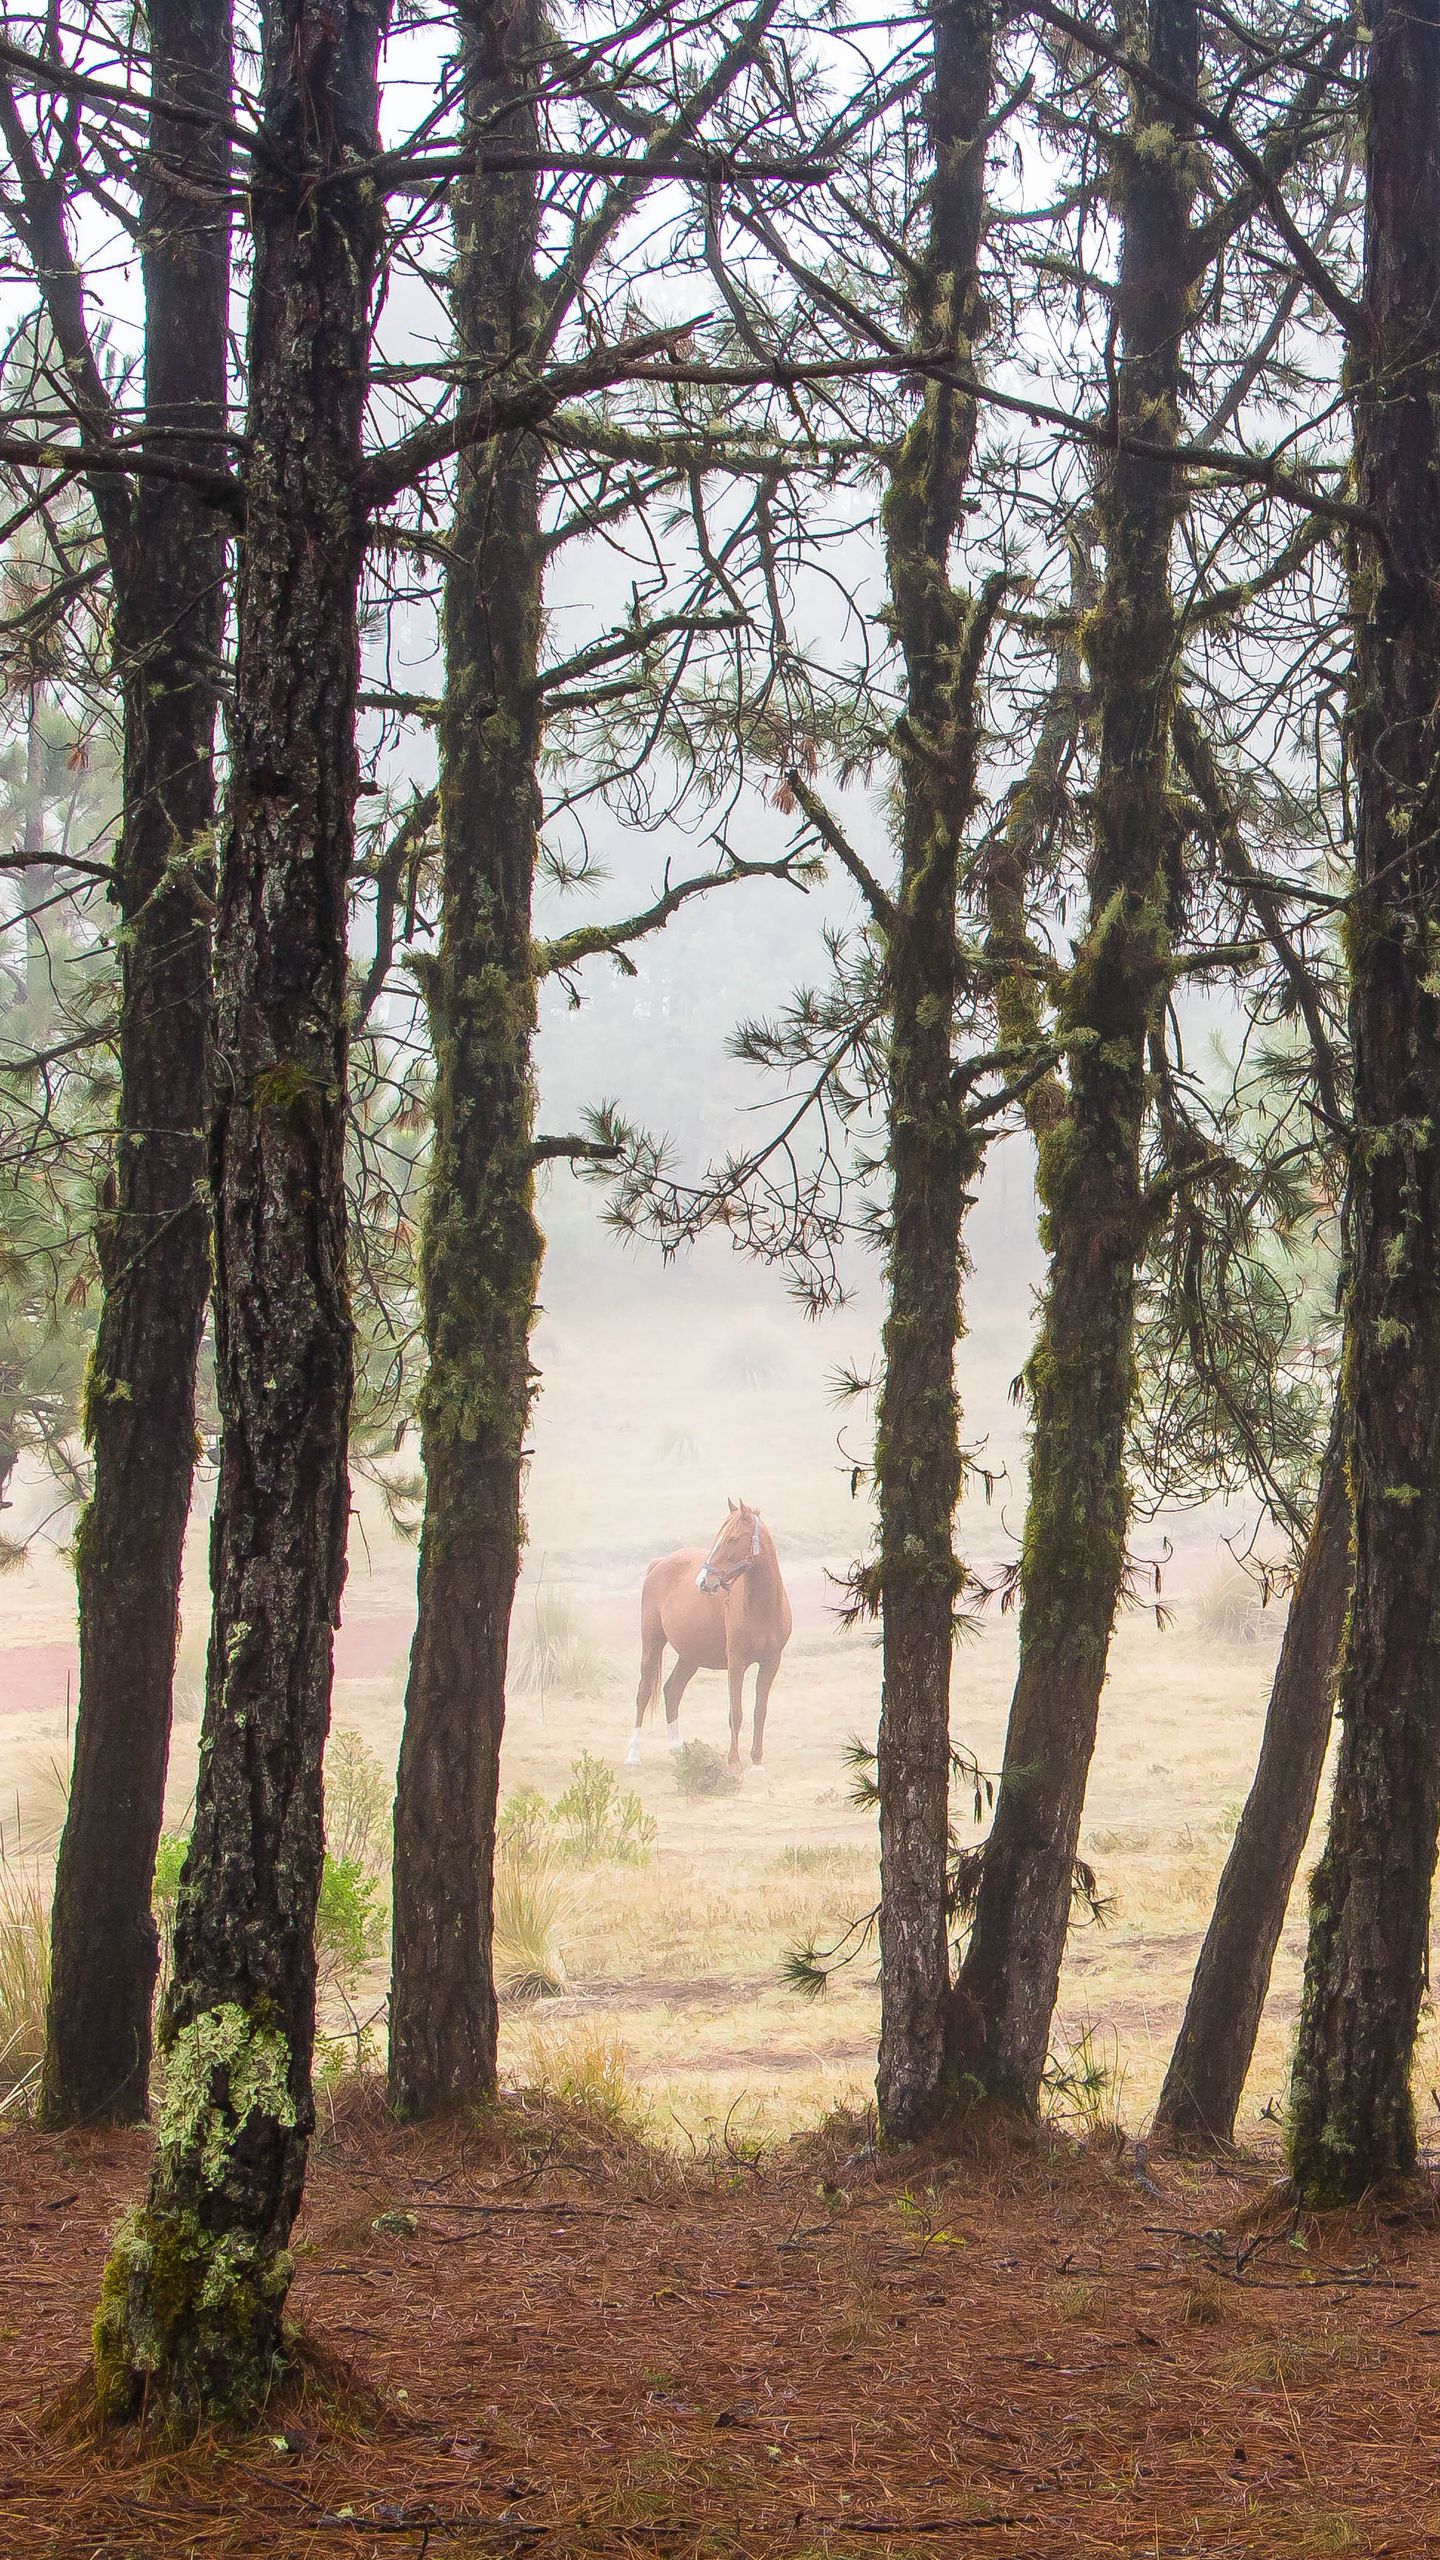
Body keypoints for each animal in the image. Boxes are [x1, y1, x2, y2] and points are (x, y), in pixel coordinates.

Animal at [627, 1499, 793, 1774]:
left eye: (732, 1539)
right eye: (718, 1538)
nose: (703, 1582)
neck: (763, 1608)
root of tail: (660, 1562)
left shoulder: (771, 1663)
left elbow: (760, 1711)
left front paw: (757, 1762)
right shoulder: (736, 1663)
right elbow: (736, 1713)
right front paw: (734, 1762)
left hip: (690, 1656)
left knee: (672, 1690)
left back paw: (678, 1750)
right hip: (652, 1643)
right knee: (643, 1693)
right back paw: (633, 1755)